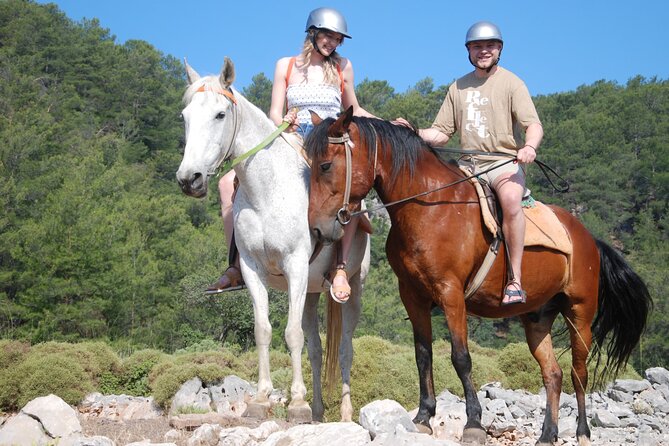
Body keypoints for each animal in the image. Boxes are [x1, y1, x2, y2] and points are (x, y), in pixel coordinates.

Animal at [175, 59, 371, 423]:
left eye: (220, 114)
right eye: (185, 116)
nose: (188, 178)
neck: (268, 190)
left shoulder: (295, 265)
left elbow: (291, 334)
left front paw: (296, 403)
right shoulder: (254, 270)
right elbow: (263, 331)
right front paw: (261, 398)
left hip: (353, 287)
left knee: (345, 350)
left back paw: (345, 413)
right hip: (311, 291)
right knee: (316, 349)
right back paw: (318, 412)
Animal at [305, 107, 651, 445]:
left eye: (325, 165)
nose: (317, 229)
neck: (430, 206)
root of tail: (588, 238)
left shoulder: (451, 293)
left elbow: (461, 357)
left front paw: (473, 423)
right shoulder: (413, 297)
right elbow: (423, 355)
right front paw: (423, 417)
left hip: (579, 313)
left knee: (579, 372)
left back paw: (581, 432)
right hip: (537, 319)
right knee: (553, 374)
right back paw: (547, 435)